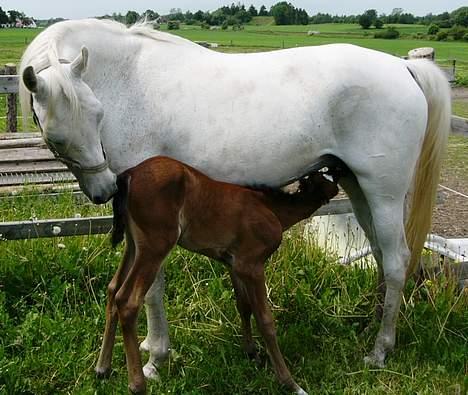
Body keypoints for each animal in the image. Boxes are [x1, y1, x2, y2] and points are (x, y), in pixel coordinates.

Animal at [96, 156, 336, 394]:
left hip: (133, 245)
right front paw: (290, 383)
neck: (271, 209)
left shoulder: (234, 265)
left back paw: (102, 369)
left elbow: (244, 306)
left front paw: (251, 353)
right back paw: (137, 385)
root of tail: (130, 174)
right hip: (156, 246)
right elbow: (265, 319)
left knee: (113, 289)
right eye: (327, 175)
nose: (338, 173)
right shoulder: (252, 265)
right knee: (127, 300)